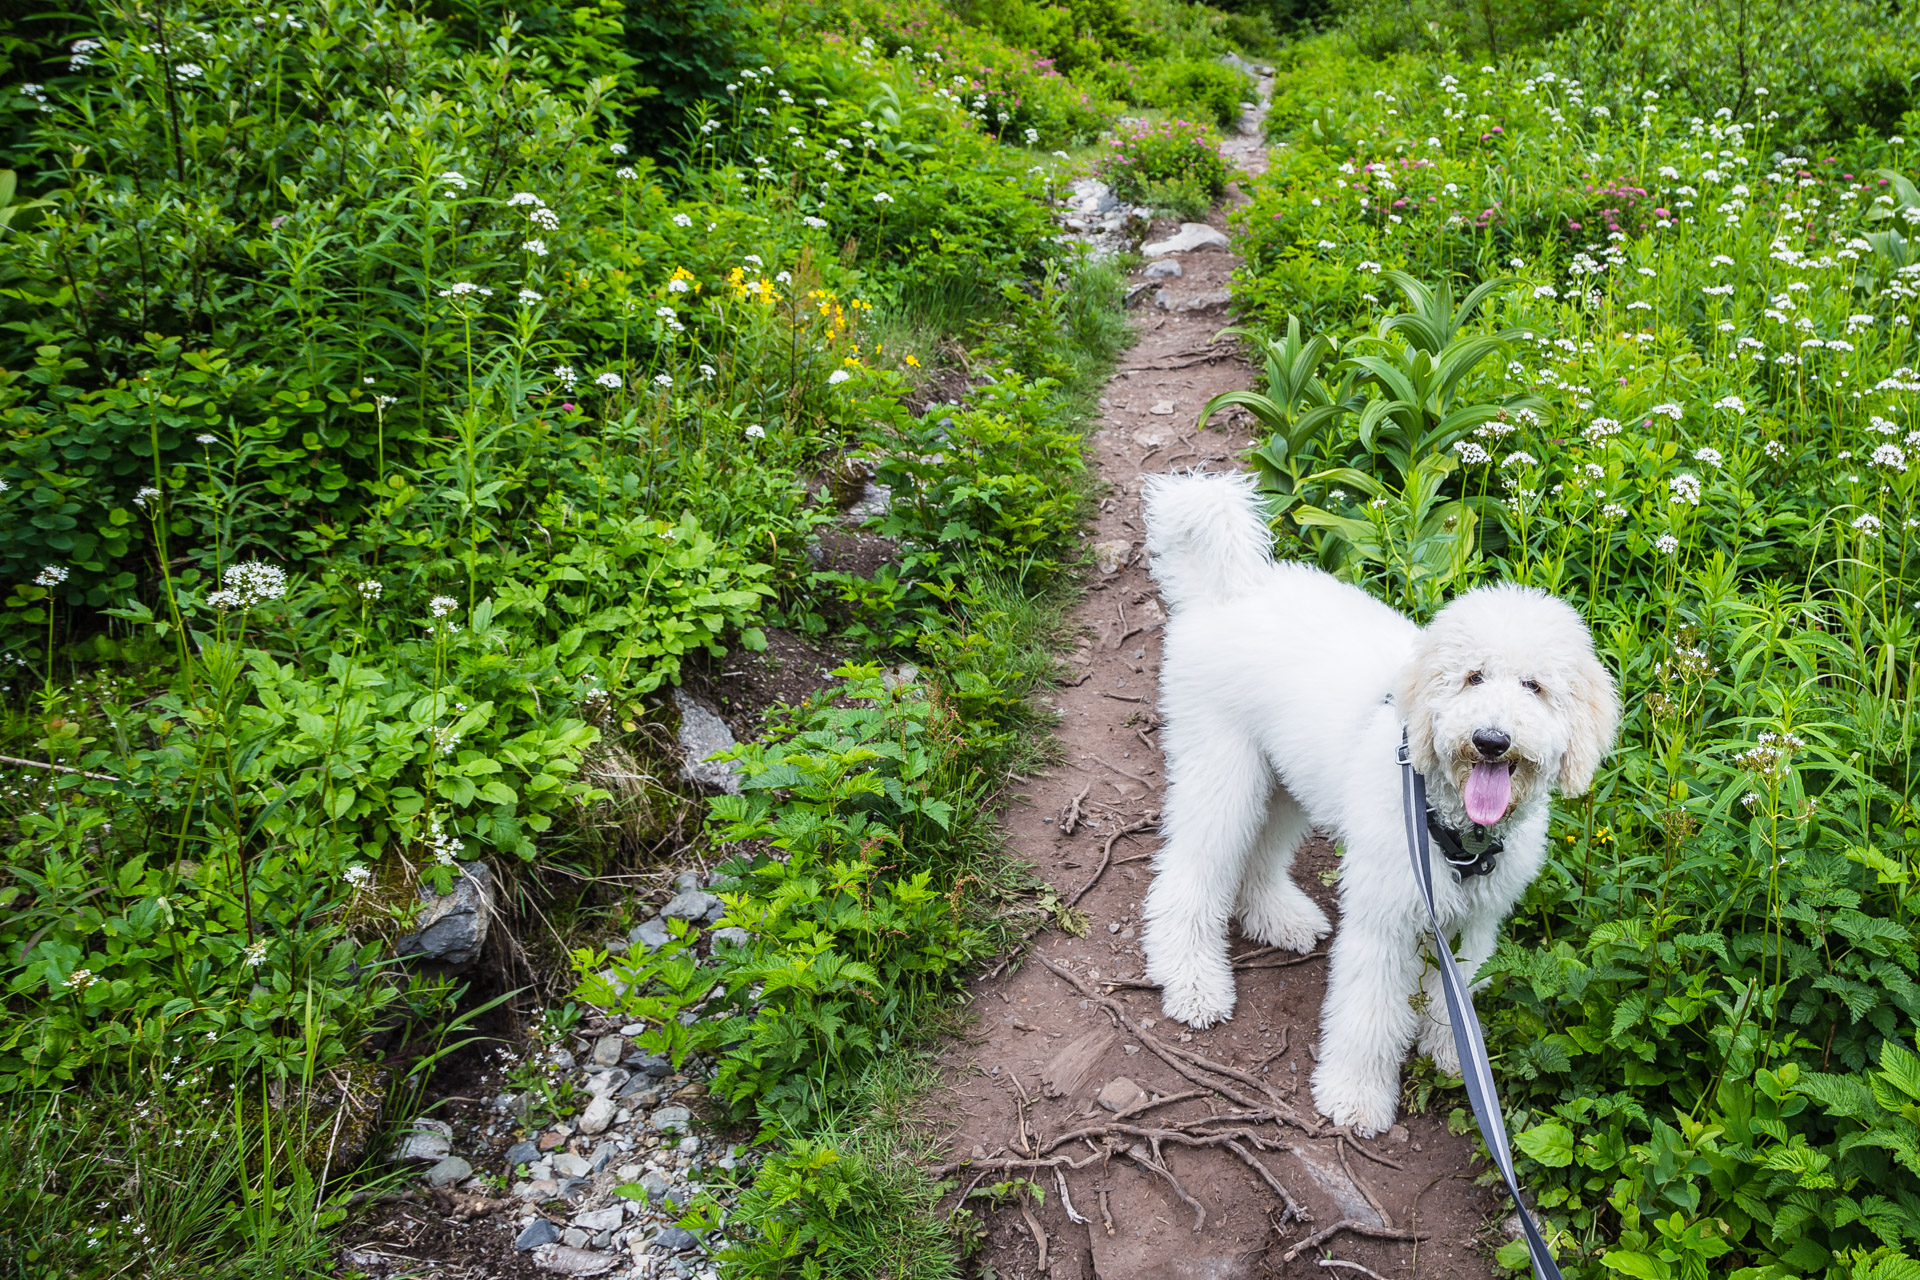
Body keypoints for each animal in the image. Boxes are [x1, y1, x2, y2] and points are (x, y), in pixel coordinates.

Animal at [1136, 475, 1620, 1136]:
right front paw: (1355, 1098)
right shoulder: (1384, 919)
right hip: (1224, 768)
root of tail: (1232, 588)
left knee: (1259, 854)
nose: (1492, 740)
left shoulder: (1473, 922)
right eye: (1472, 677)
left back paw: (1278, 918)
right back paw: (1192, 984)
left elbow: (1452, 996)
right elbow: (1368, 1014)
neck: (1452, 830)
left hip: (1285, 778)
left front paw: (1454, 1058)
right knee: (1190, 872)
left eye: (1534, 687)